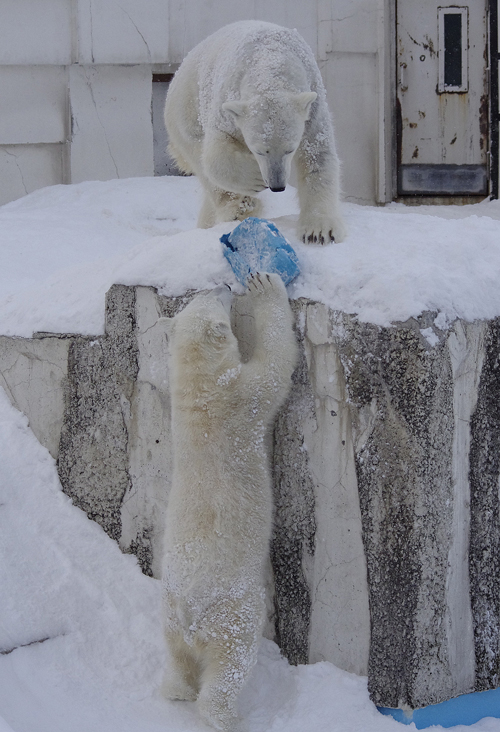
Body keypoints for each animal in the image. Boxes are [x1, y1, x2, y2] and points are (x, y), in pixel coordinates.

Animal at [161, 276, 296, 732]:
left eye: (200, 295)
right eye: (214, 298)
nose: (222, 283)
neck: (202, 389)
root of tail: (189, 610)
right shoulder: (242, 398)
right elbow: (276, 363)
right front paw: (265, 284)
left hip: (167, 613)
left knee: (177, 656)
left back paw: (176, 690)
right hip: (232, 609)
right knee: (231, 661)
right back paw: (228, 716)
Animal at [166, 21, 346, 244]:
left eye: (290, 149)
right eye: (259, 151)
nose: (277, 186)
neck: (270, 59)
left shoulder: (313, 107)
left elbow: (317, 156)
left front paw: (319, 231)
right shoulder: (227, 103)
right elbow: (215, 154)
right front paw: (255, 178)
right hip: (186, 113)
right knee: (200, 160)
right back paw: (240, 208)